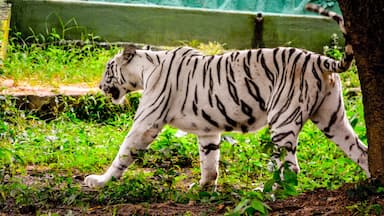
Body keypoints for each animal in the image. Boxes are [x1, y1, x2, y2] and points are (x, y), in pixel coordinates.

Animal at [85, 4, 368, 188]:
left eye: (107, 69)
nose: (99, 86)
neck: (146, 68)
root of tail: (319, 59)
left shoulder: (147, 122)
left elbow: (124, 152)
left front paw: (100, 181)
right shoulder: (207, 130)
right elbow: (209, 162)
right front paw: (202, 190)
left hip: (283, 121)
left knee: (290, 167)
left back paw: (270, 192)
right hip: (331, 118)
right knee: (361, 151)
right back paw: (370, 185)